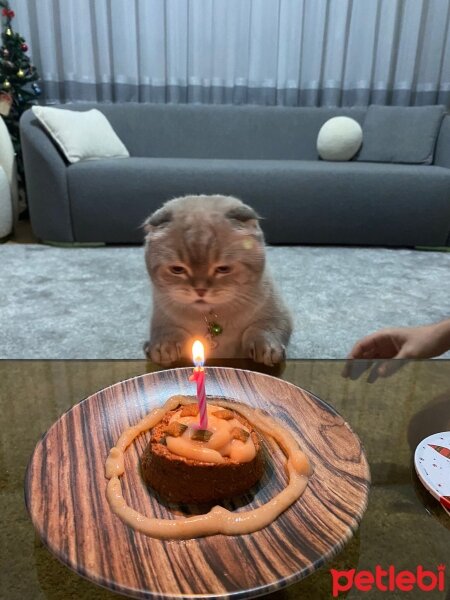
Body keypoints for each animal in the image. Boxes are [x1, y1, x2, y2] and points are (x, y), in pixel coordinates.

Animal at [142, 196, 294, 366]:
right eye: (177, 269)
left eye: (223, 269)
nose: (200, 290)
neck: (210, 317)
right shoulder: (162, 318)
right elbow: (168, 332)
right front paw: (164, 348)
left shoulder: (277, 314)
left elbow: (261, 329)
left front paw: (267, 350)